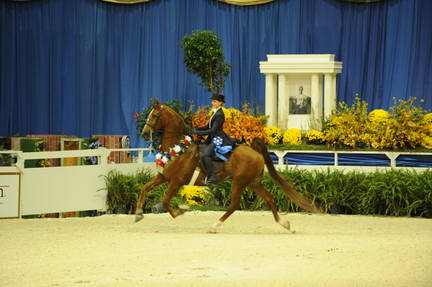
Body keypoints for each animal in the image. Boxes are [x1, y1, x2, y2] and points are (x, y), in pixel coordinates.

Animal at [135, 100, 320, 233]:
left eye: (155, 115)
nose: (144, 133)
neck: (177, 148)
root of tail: (254, 152)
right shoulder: (163, 177)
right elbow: (144, 188)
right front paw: (138, 214)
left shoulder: (176, 181)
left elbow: (166, 202)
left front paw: (181, 210)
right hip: (253, 182)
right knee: (269, 198)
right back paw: (285, 224)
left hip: (239, 182)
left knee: (234, 205)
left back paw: (214, 226)